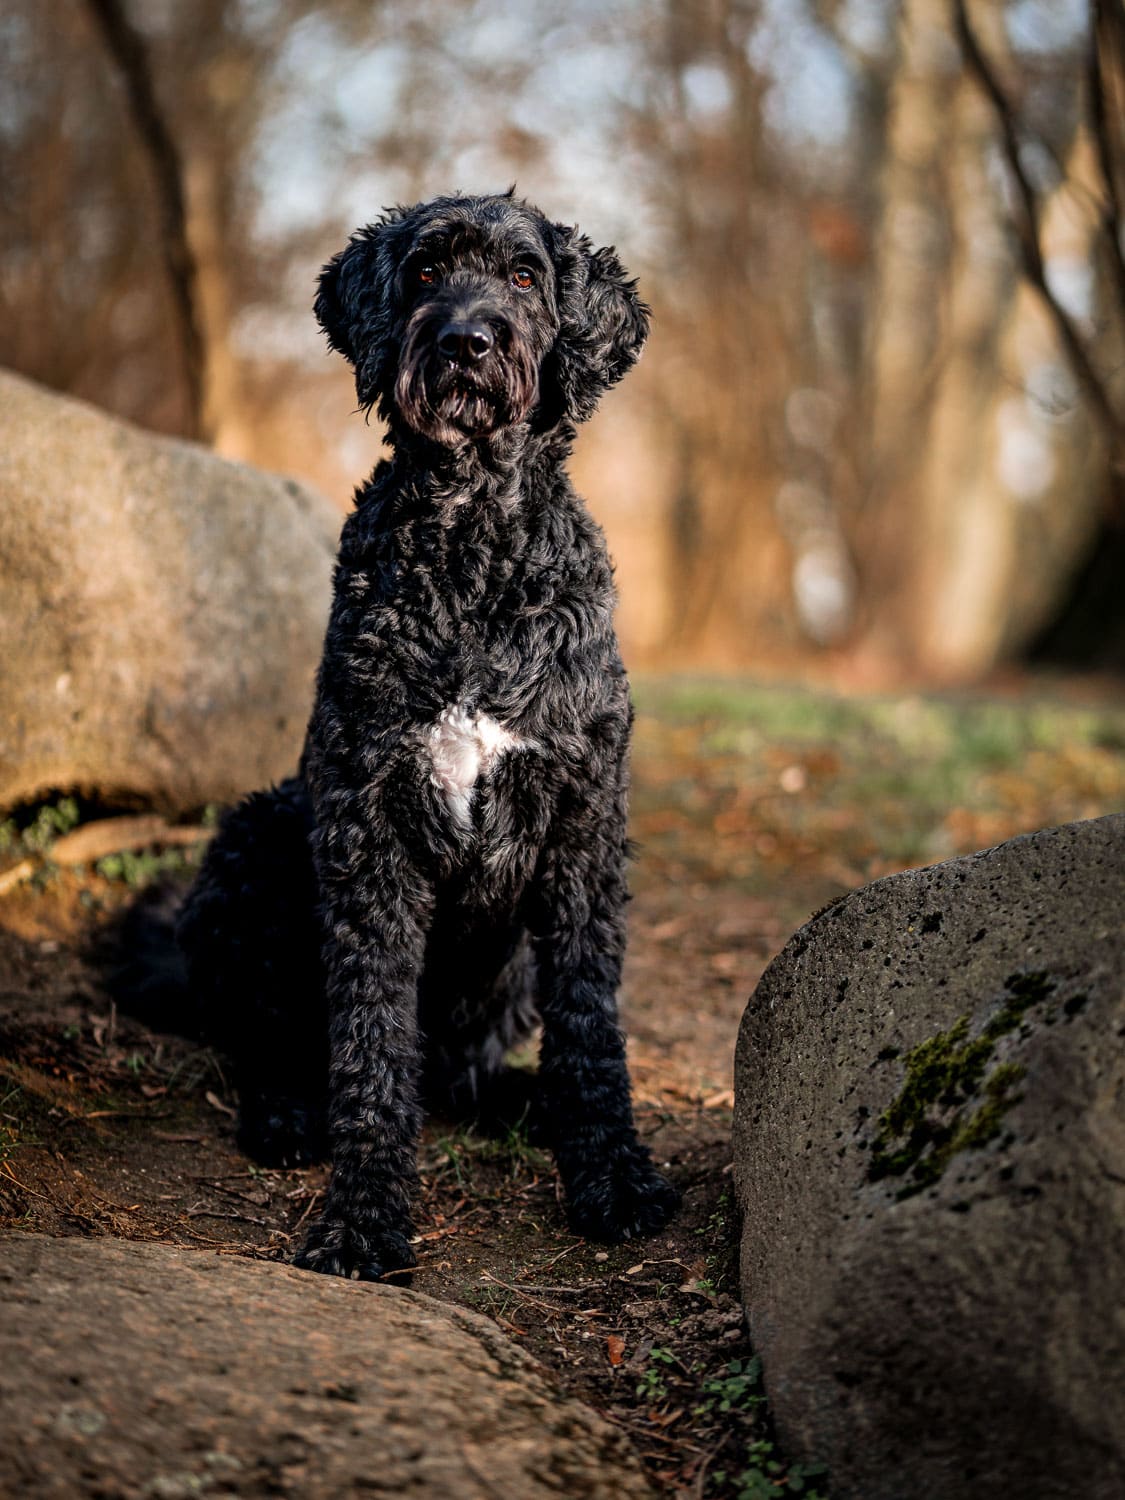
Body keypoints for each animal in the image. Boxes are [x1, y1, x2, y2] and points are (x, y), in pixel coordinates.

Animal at [176, 193, 678, 1284]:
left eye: (526, 276)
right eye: (422, 272)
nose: (465, 338)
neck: (473, 543)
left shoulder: (582, 824)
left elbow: (590, 1026)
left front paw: (612, 1177)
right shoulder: (366, 825)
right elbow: (370, 1041)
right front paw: (362, 1219)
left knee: (462, 1069)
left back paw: (518, 1103)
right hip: (257, 840)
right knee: (279, 1038)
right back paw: (288, 1114)